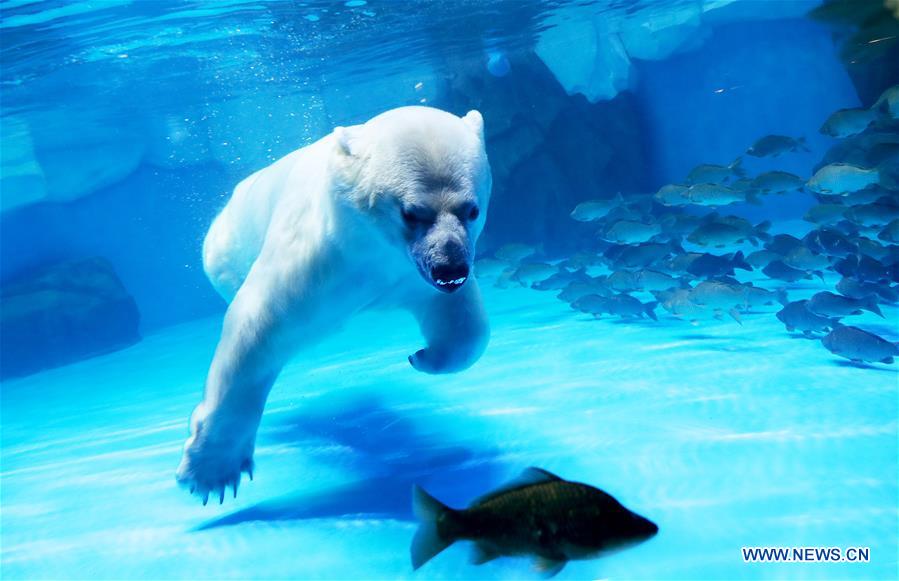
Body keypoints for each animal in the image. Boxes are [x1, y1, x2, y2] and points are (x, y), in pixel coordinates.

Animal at [175, 106, 492, 503]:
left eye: (472, 210)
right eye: (410, 212)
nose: (450, 270)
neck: (370, 247)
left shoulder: (406, 275)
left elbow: (465, 326)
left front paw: (423, 356)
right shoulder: (319, 259)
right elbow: (259, 329)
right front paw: (211, 471)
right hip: (223, 248)